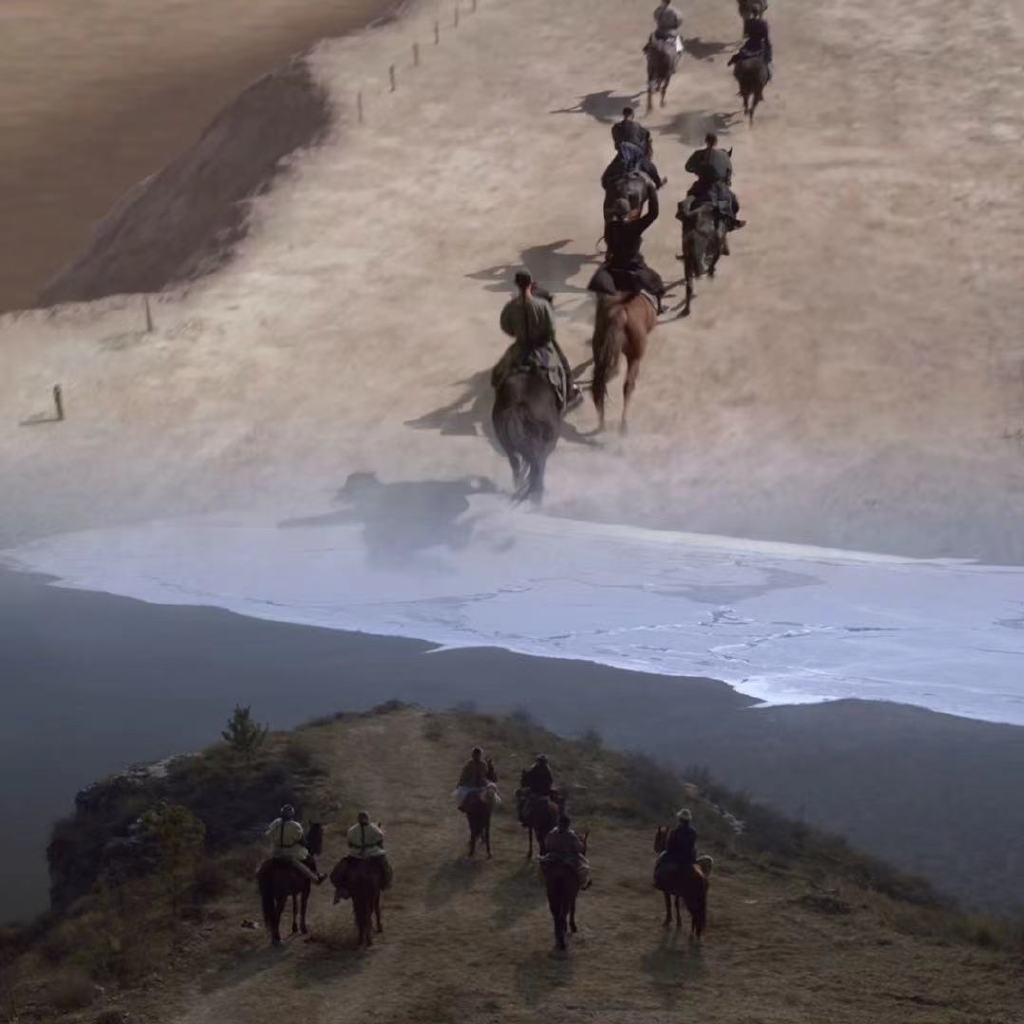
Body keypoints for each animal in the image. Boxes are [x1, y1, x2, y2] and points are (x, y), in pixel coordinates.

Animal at [590, 292, 658, 434]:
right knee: (628, 387)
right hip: (634, 357)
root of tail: (619, 315)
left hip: (599, 348)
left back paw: (601, 423)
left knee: (597, 385)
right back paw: (623, 425)